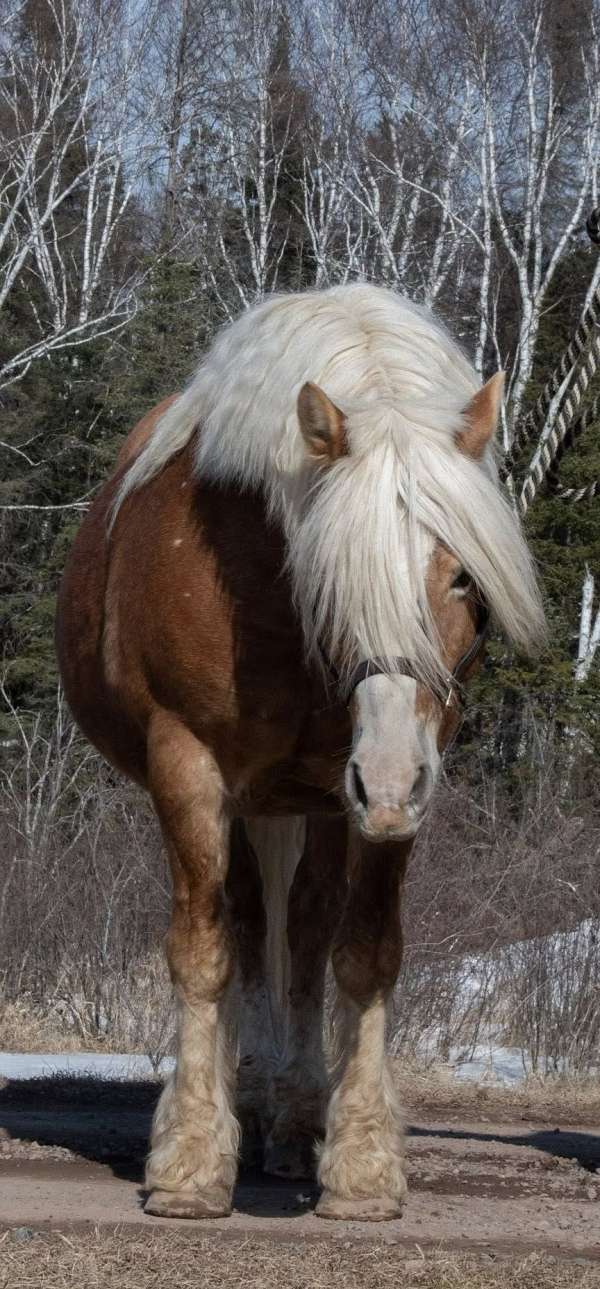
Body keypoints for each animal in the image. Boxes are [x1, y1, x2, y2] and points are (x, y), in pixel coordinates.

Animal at [56, 284, 544, 1223]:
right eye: (329, 578)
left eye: (461, 575)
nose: (388, 777)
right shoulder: (189, 766)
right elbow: (205, 949)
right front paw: (190, 1160)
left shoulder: (379, 794)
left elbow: (364, 952)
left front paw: (361, 1164)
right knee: (250, 927)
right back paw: (246, 1103)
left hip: (317, 799)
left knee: (306, 933)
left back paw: (293, 1117)